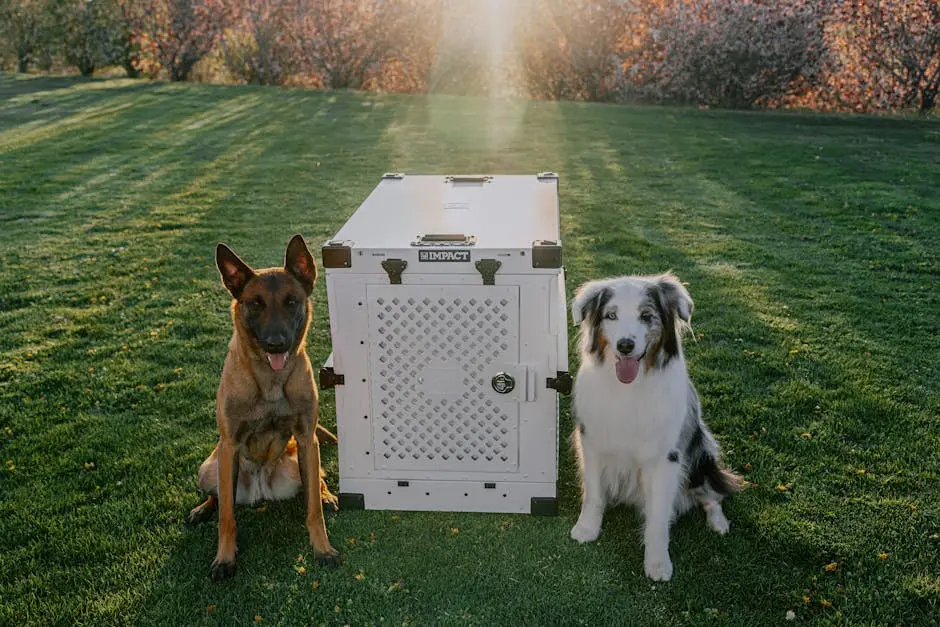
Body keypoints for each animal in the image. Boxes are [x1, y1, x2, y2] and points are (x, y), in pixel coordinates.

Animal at [185, 236, 340, 584]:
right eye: (255, 304)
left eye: (291, 302)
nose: (275, 343)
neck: (270, 381)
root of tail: (260, 490)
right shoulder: (228, 446)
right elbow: (227, 517)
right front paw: (225, 559)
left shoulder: (306, 438)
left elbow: (313, 510)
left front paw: (322, 549)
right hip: (209, 468)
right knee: (219, 496)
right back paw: (202, 509)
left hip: (302, 459)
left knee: (316, 483)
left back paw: (326, 494)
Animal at [568, 272, 740, 580]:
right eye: (611, 315)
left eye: (646, 316)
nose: (625, 345)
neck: (628, 389)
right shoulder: (591, 442)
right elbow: (594, 494)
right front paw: (587, 529)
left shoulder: (666, 457)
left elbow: (659, 516)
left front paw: (658, 562)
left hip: (701, 452)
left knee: (712, 493)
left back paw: (719, 522)